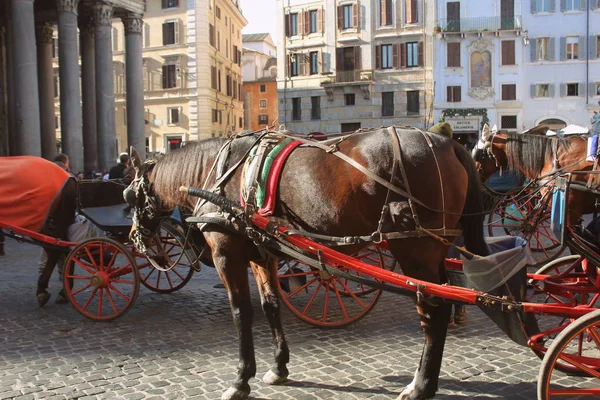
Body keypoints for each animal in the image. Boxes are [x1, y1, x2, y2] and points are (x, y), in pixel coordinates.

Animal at [124, 128, 490, 400]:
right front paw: (279, 367)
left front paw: (241, 379)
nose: (135, 238)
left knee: (434, 310)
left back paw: (421, 385)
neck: (218, 172)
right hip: (433, 251)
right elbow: (271, 306)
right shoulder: (262, 256)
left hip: (416, 250)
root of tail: (449, 143)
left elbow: (241, 313)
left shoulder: (227, 254)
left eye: (129, 196)